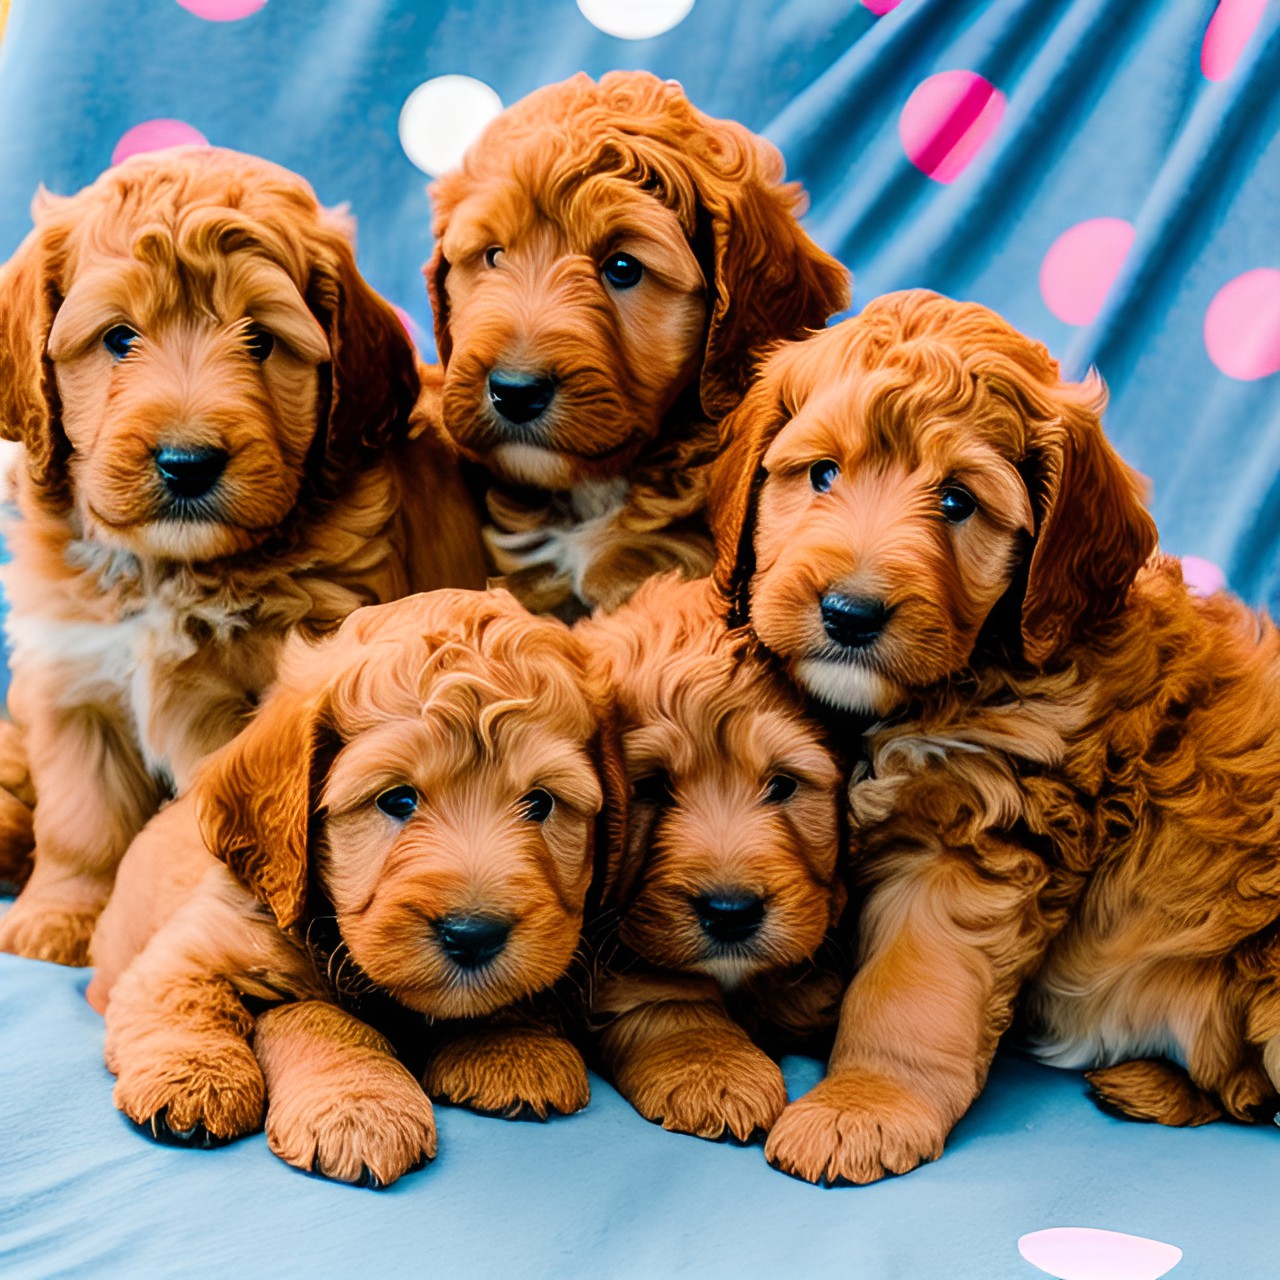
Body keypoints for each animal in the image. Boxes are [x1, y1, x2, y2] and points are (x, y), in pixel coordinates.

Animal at [0, 145, 486, 962]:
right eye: (119, 338)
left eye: (260, 339)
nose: (187, 462)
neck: (171, 573)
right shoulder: (77, 684)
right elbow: (80, 822)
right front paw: (58, 917)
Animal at [91, 588, 619, 1187]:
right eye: (397, 799)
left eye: (541, 802)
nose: (473, 935)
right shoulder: (193, 946)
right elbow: (214, 1005)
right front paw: (203, 1079)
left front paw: (516, 1046)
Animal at [711, 288, 1280, 1177]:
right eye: (822, 474)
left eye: (956, 502)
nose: (849, 613)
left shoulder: (972, 840)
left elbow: (908, 992)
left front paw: (862, 1106)